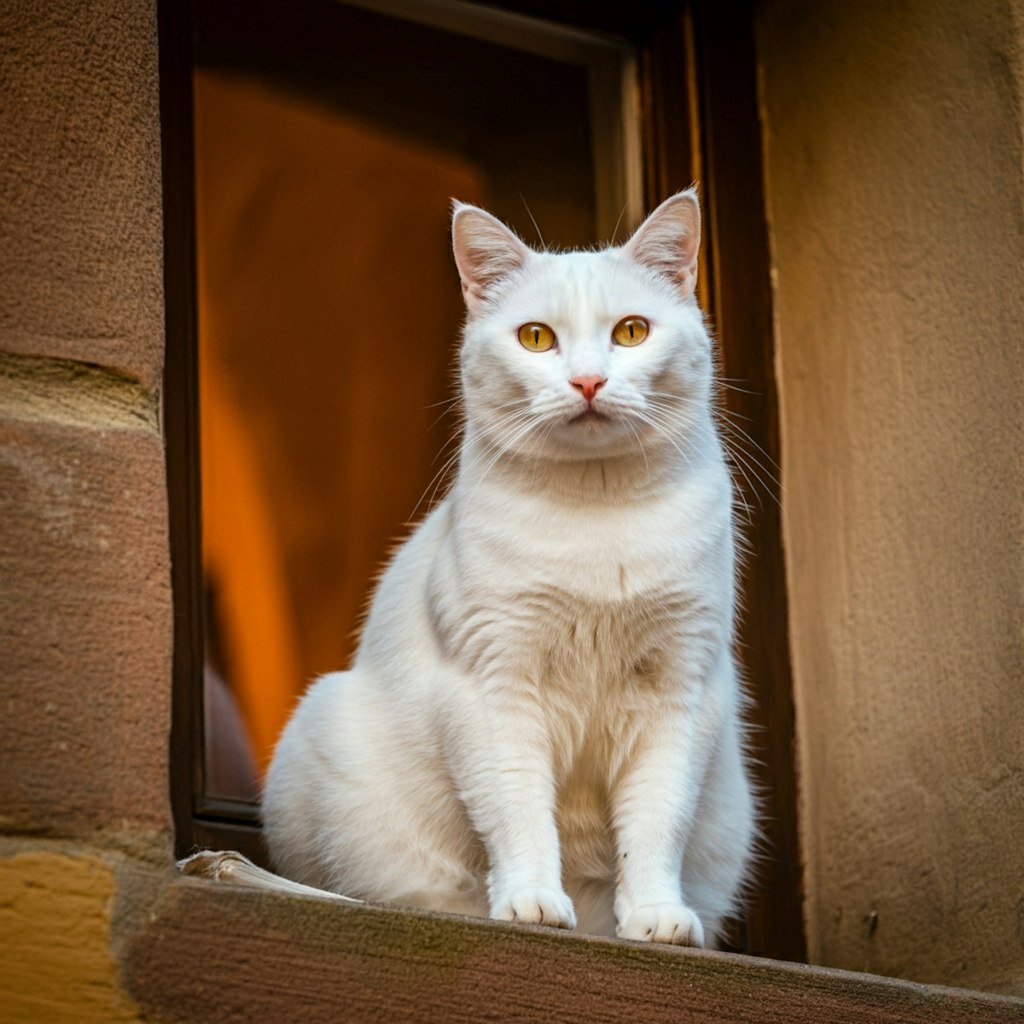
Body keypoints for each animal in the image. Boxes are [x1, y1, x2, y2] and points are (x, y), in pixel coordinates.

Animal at [262, 190, 761, 942]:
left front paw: (655, 916)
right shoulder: (495, 684)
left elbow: (657, 819)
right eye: (535, 338)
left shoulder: (680, 688)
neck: (598, 514)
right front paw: (531, 902)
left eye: (632, 332)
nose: (588, 380)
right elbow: (517, 808)